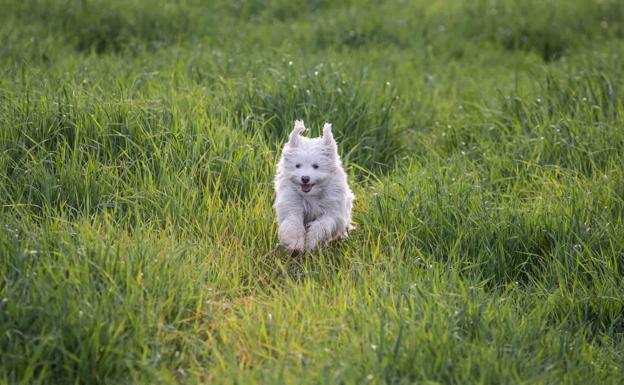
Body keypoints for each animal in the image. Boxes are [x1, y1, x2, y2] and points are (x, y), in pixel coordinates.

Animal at [274, 120, 356, 252]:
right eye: (297, 165)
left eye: (316, 166)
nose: (305, 178)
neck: (312, 194)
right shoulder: (292, 205)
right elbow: (293, 223)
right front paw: (295, 246)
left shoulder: (332, 212)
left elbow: (321, 226)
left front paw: (311, 242)